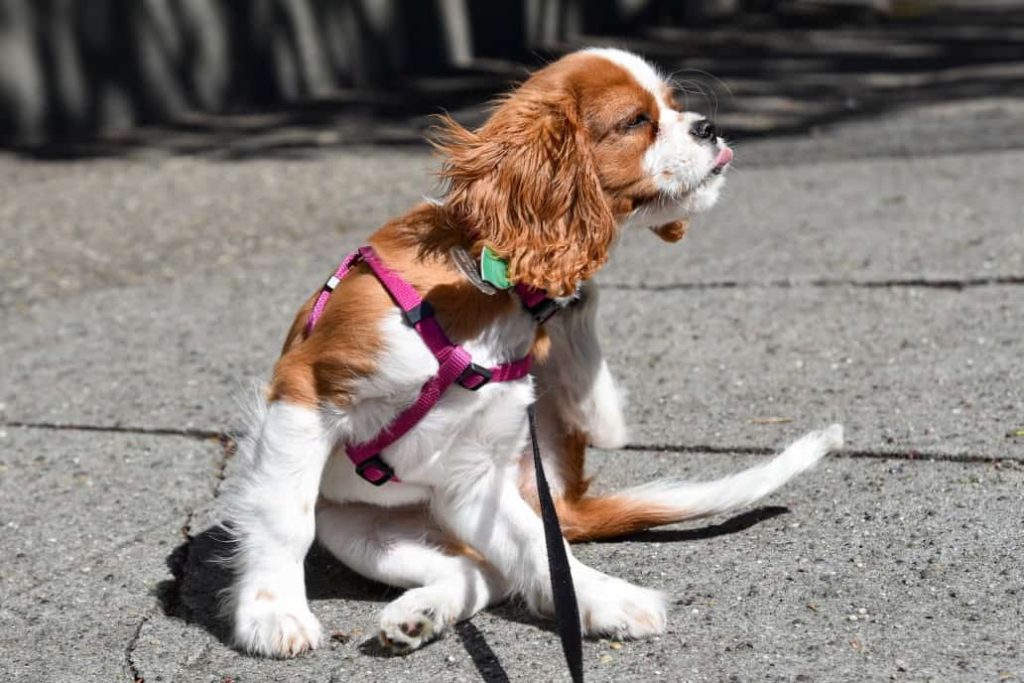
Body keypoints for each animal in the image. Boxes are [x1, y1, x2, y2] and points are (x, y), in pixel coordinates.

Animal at [220, 46, 843, 655]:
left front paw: (603, 596)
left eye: (673, 103)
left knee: (494, 570)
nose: (708, 127)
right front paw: (272, 615)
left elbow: (542, 550)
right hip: (357, 527)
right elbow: (285, 517)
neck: (486, 283)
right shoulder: (308, 389)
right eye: (636, 122)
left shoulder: (473, 477)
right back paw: (422, 613)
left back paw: (449, 611)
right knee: (476, 568)